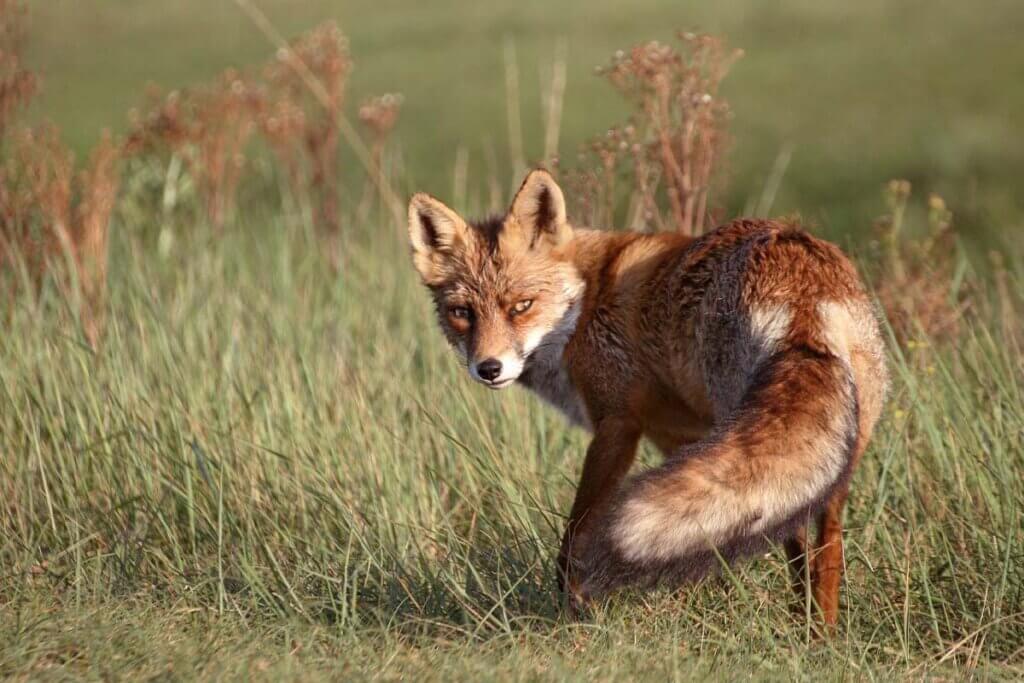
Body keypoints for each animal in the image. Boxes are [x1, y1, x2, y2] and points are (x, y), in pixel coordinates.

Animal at [407, 169, 888, 626]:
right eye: (462, 314)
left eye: (522, 306)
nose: (489, 368)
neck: (587, 299)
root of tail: (803, 284)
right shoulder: (678, 438)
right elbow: (704, 527)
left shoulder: (618, 423)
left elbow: (577, 533)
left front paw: (574, 611)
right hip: (829, 448)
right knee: (820, 538)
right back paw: (819, 633)